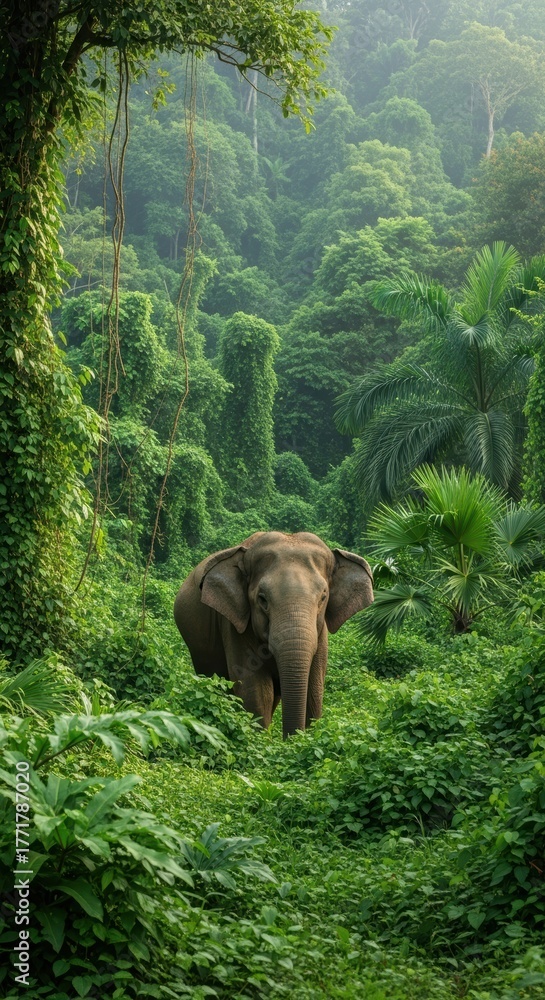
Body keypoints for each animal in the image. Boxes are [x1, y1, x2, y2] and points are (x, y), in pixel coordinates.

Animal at [173, 531, 373, 738]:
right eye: (262, 599)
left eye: (323, 597)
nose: (291, 739)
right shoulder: (234, 624)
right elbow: (257, 691)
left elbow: (314, 688)